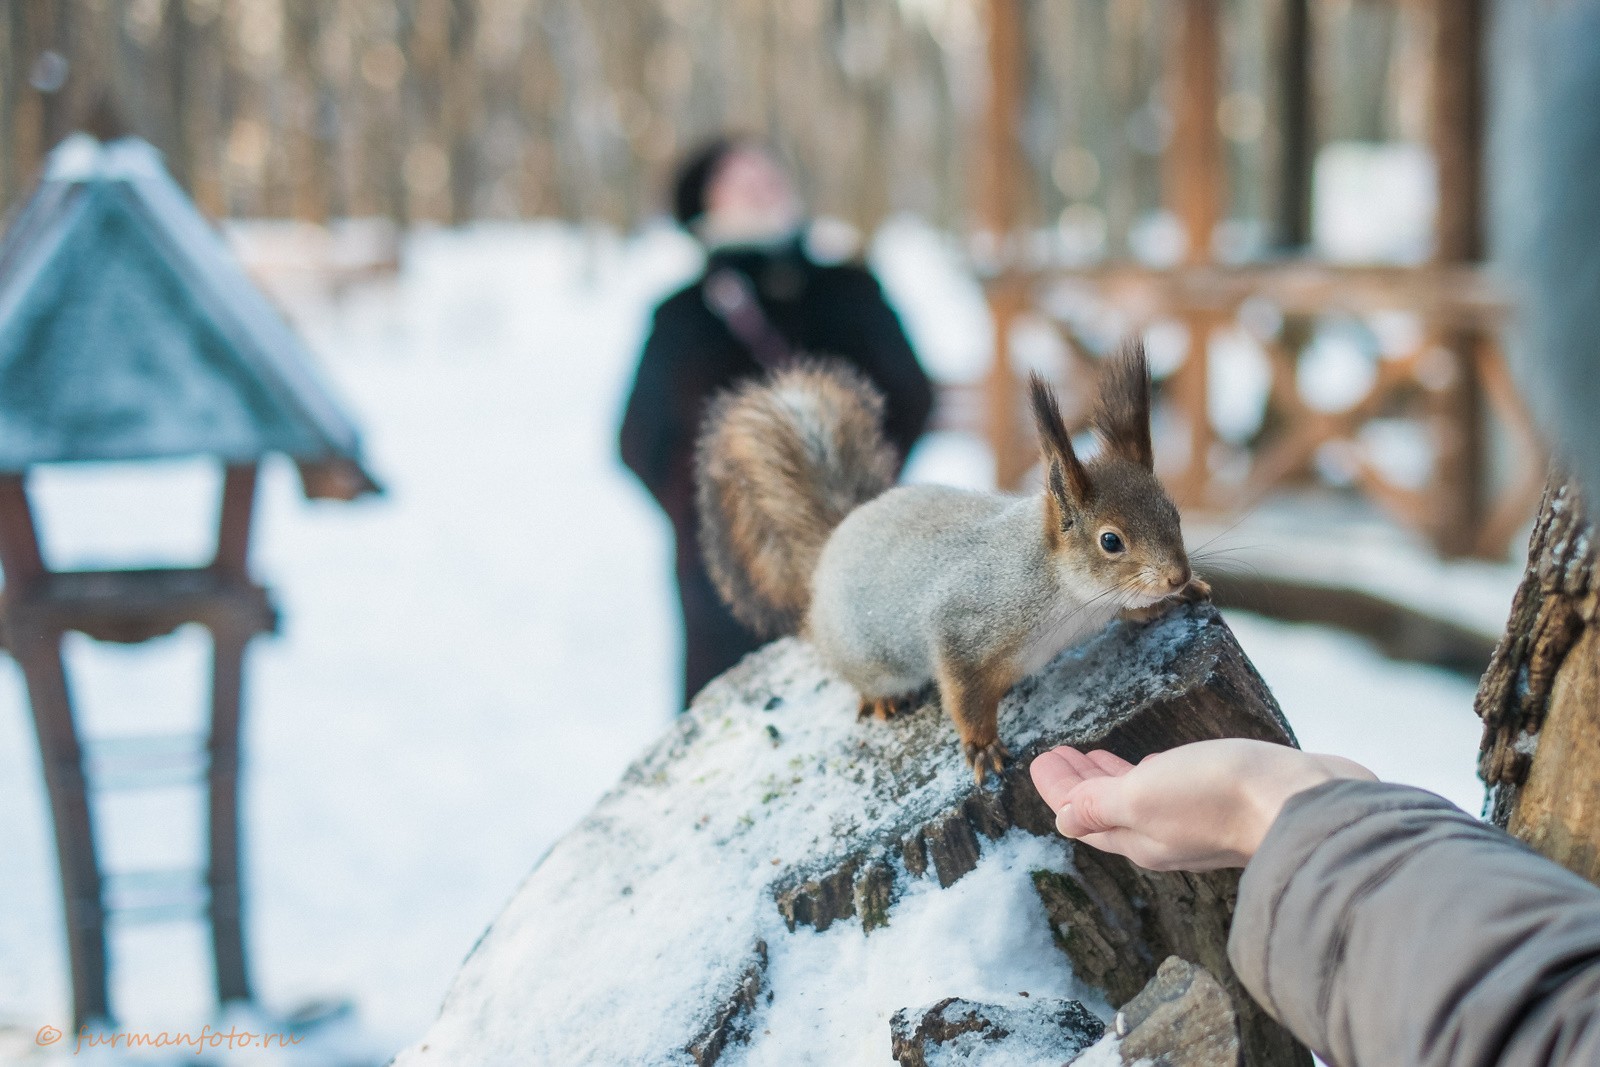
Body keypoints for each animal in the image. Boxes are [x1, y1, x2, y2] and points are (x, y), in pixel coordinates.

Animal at [694, 342, 1203, 783]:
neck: (1068, 594)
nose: (1178, 575)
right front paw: (982, 746)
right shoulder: (962, 628)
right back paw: (884, 699)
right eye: (1111, 541)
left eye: (1174, 513)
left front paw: (1167, 601)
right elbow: (963, 695)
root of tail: (834, 541)